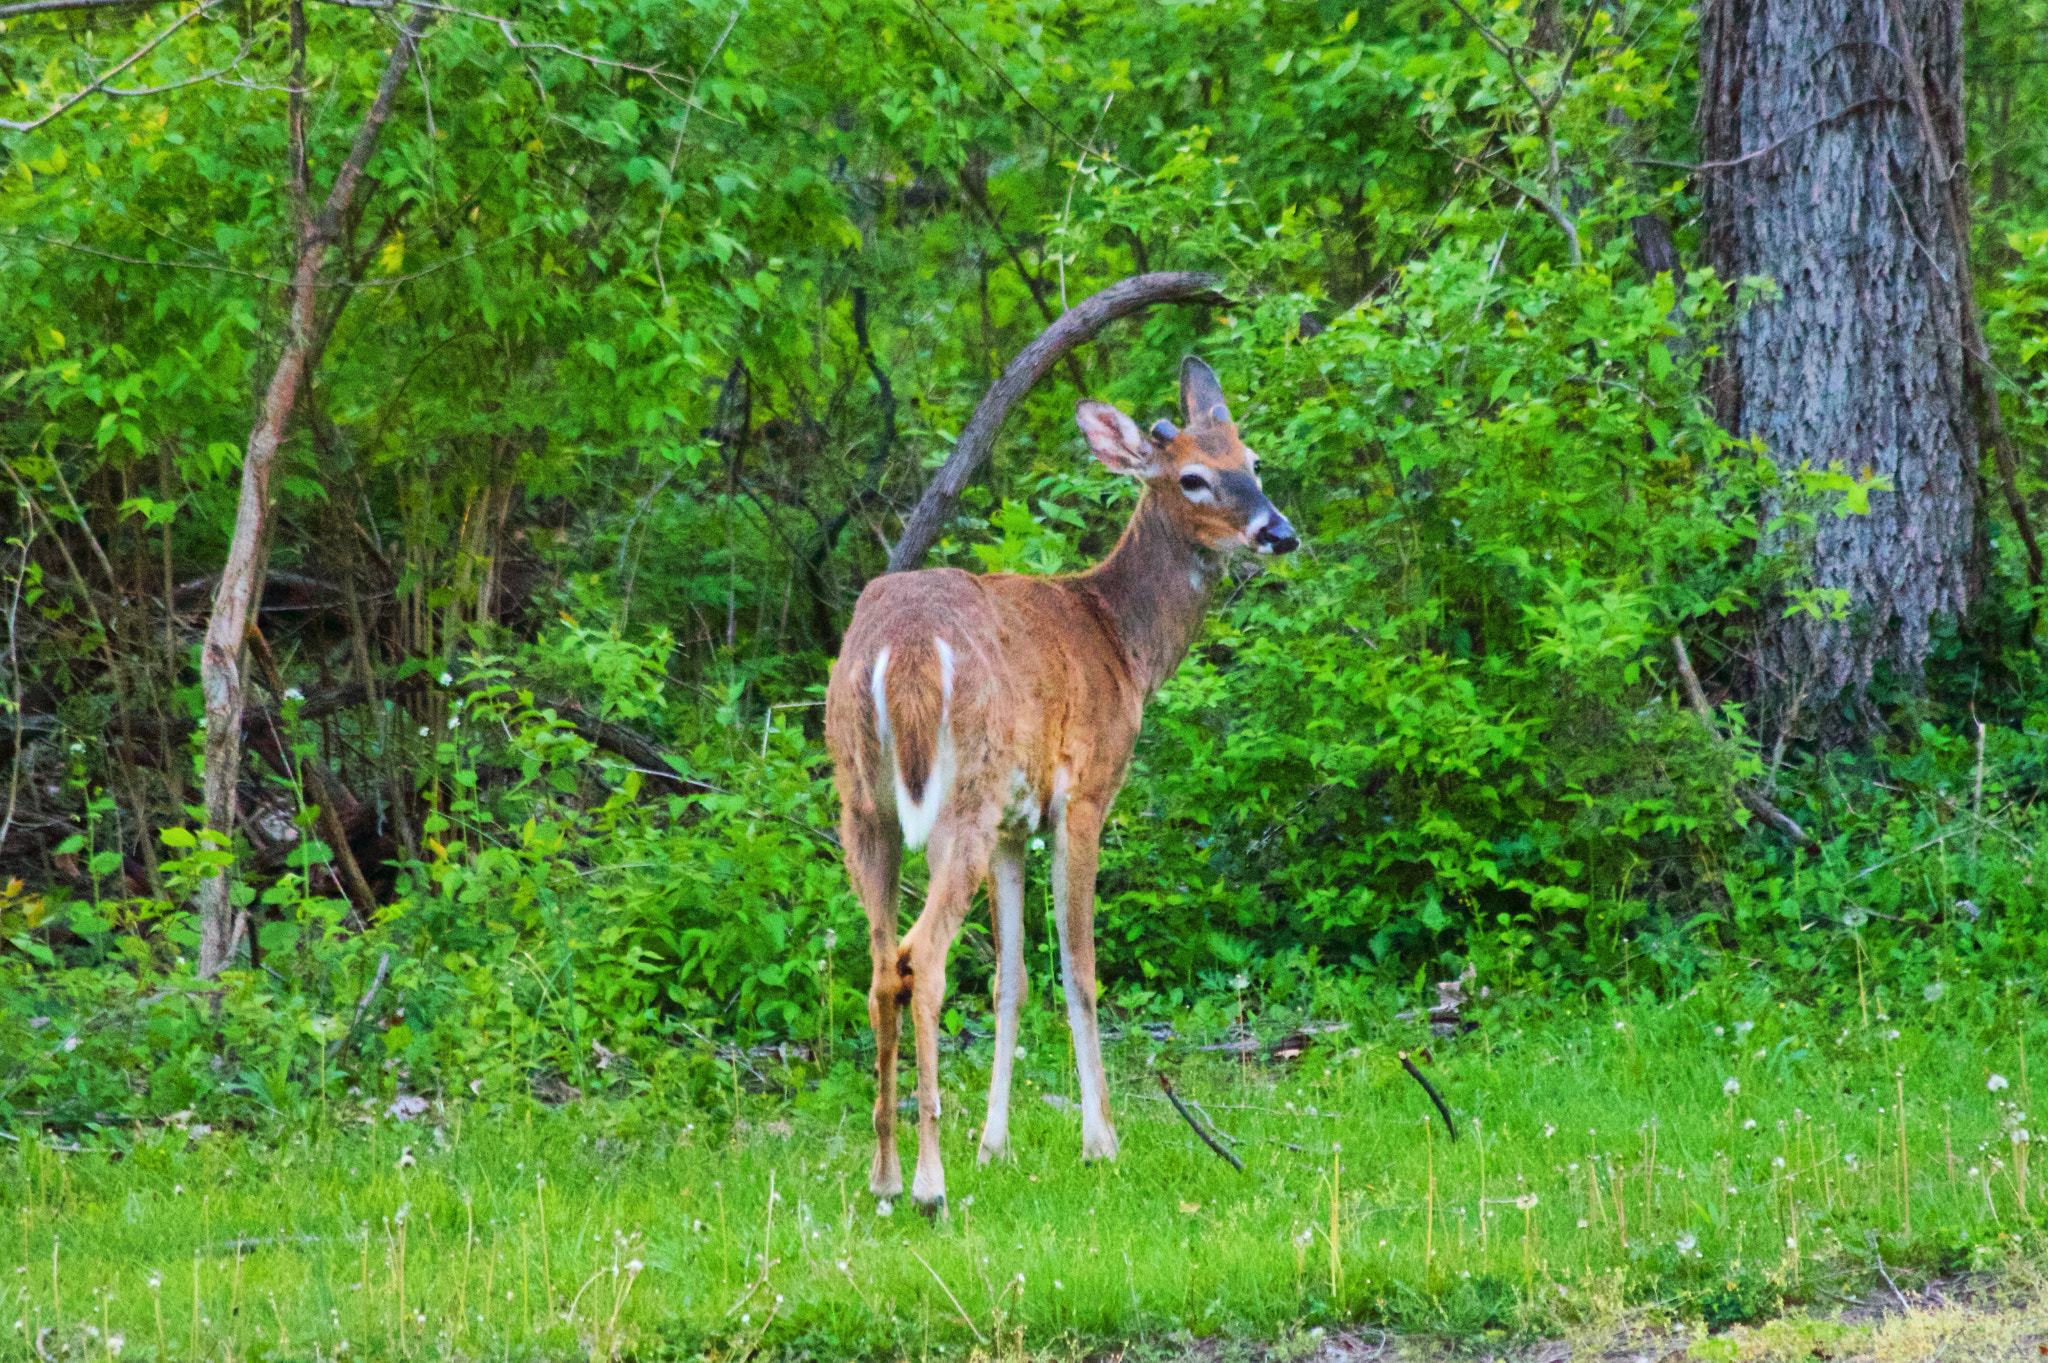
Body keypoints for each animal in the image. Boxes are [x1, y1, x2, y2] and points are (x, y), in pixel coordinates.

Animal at [824, 355, 1298, 1214]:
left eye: (1252, 460)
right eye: (1193, 478)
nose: (1279, 532)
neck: (1121, 641)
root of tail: (900, 651)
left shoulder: (1016, 825)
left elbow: (1010, 979)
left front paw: (996, 1145)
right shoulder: (1083, 796)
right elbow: (1080, 970)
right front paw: (1100, 1140)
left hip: (865, 802)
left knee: (880, 964)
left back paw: (883, 1175)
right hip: (961, 800)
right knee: (922, 957)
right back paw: (928, 1184)